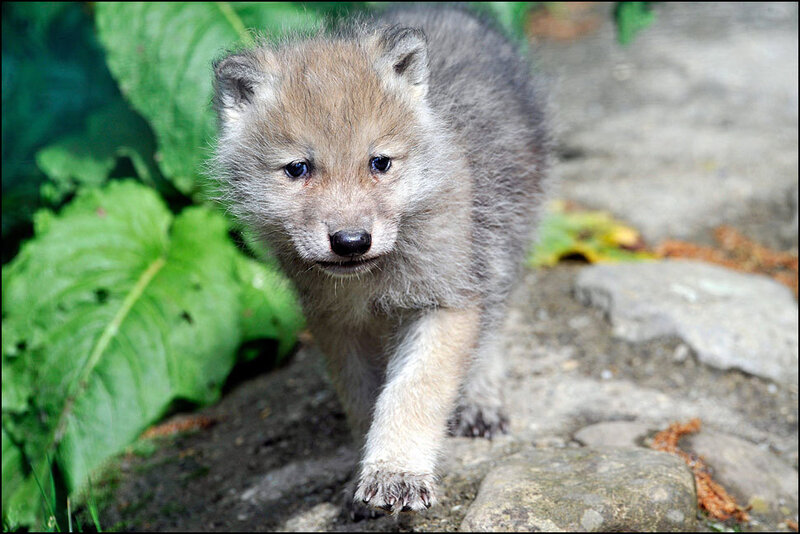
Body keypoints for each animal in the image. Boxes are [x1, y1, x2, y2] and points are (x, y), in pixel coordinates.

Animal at [211, 5, 549, 516]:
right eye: (298, 169)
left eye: (380, 163)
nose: (351, 241)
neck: (371, 280)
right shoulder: (338, 325)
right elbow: (364, 402)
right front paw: (362, 478)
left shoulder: (444, 303)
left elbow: (413, 391)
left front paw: (397, 472)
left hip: (500, 246)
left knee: (492, 324)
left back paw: (480, 399)